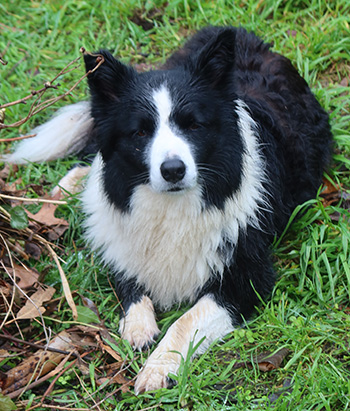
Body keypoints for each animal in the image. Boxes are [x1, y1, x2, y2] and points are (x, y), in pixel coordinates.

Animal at [4, 25, 332, 392]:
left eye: (193, 126)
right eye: (140, 132)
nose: (173, 170)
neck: (172, 206)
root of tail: (243, 35)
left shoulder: (248, 279)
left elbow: (185, 321)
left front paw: (157, 367)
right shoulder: (122, 244)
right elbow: (131, 283)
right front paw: (137, 326)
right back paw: (68, 185)